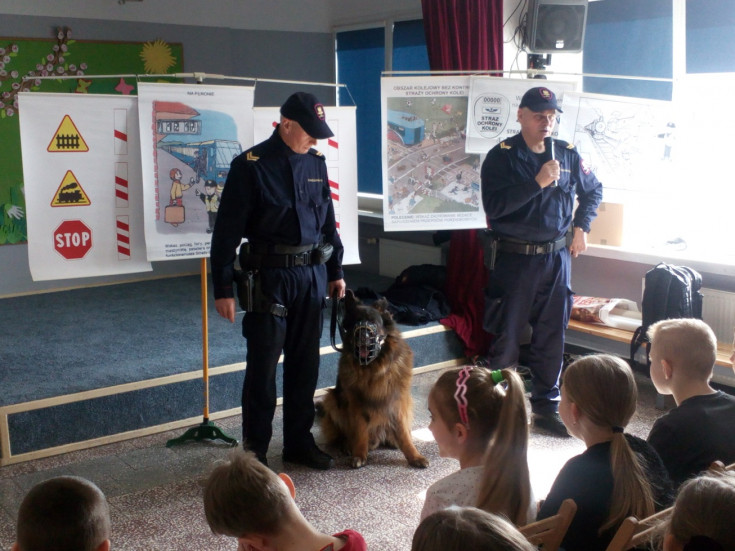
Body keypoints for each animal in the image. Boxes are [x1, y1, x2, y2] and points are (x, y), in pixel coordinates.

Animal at [318, 292, 428, 468]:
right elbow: (360, 430)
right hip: (332, 398)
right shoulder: (356, 403)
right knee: (342, 434)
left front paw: (414, 456)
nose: (363, 336)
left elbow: (403, 432)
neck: (374, 369)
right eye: (355, 323)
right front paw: (359, 454)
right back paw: (347, 445)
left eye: (373, 323)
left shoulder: (396, 402)